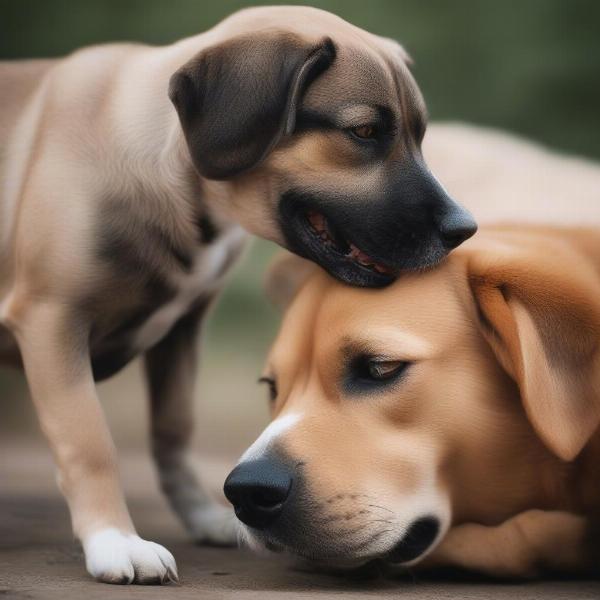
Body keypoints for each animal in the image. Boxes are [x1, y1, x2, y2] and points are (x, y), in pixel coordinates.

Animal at [0, 7, 478, 584]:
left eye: (419, 137)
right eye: (364, 132)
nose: (465, 229)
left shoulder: (183, 330)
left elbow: (174, 430)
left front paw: (203, 515)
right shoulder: (52, 319)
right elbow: (88, 440)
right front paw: (114, 539)